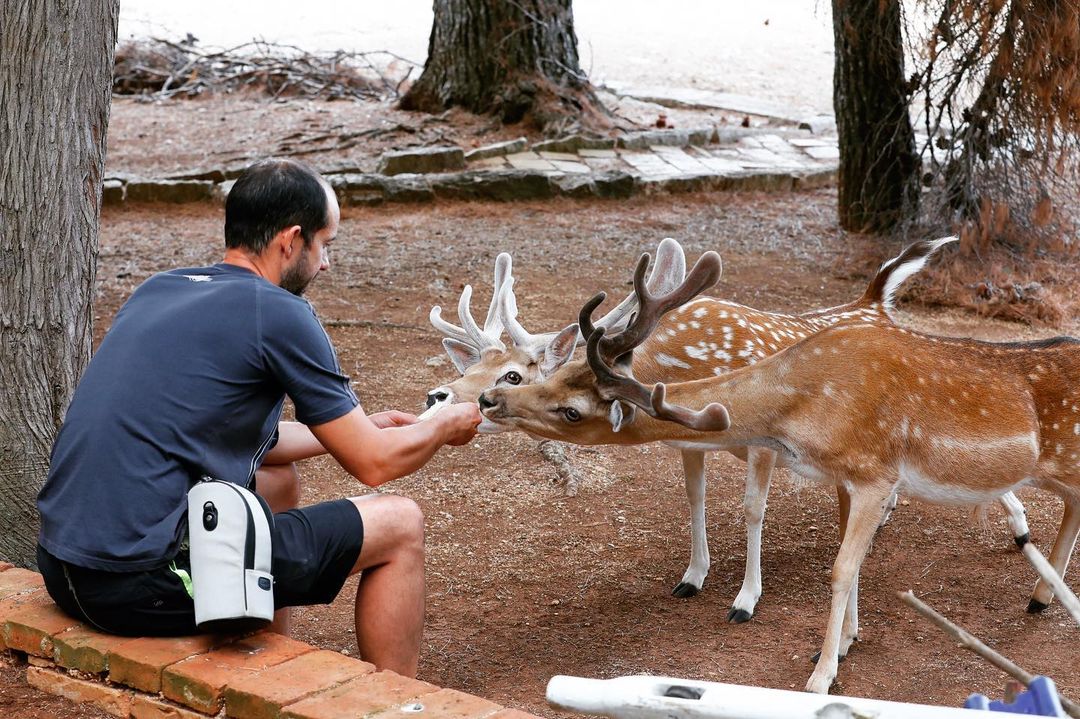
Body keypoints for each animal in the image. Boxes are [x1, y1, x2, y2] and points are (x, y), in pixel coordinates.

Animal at [477, 245, 1067, 690]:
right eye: (560, 373)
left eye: (572, 410)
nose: (487, 399)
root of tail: (875, 300)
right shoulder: (701, 445)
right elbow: (696, 498)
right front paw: (694, 577)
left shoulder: (768, 451)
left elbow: (755, 510)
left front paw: (748, 603)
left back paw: (1028, 550)